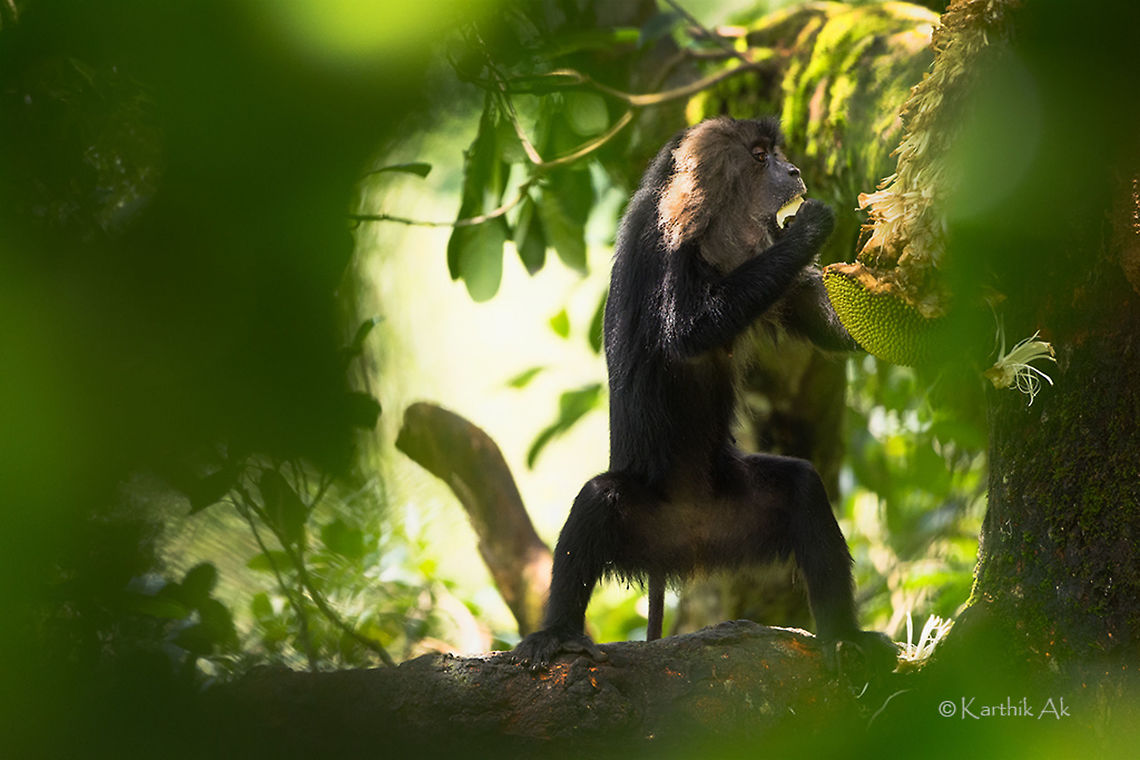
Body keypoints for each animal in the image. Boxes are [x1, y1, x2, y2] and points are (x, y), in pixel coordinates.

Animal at [513, 116, 897, 670]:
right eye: (760, 156)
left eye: (776, 153)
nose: (793, 171)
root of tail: (685, 545)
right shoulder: (665, 240)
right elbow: (688, 332)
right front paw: (809, 228)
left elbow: (838, 328)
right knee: (596, 499)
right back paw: (556, 634)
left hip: (732, 509)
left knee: (803, 486)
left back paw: (844, 637)